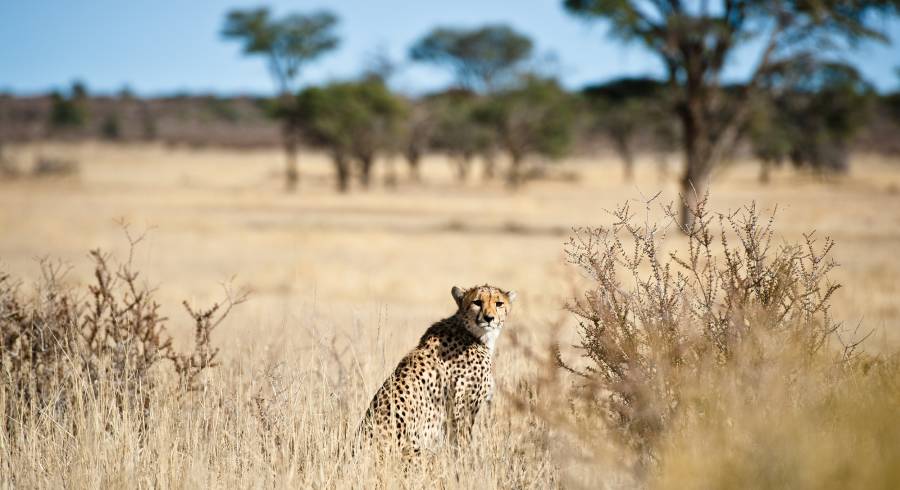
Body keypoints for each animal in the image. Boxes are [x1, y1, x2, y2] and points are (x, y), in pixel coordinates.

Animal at [356, 284, 516, 456]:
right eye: (477, 302)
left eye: (499, 304)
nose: (489, 318)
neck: (472, 333)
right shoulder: (462, 409)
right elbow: (462, 444)